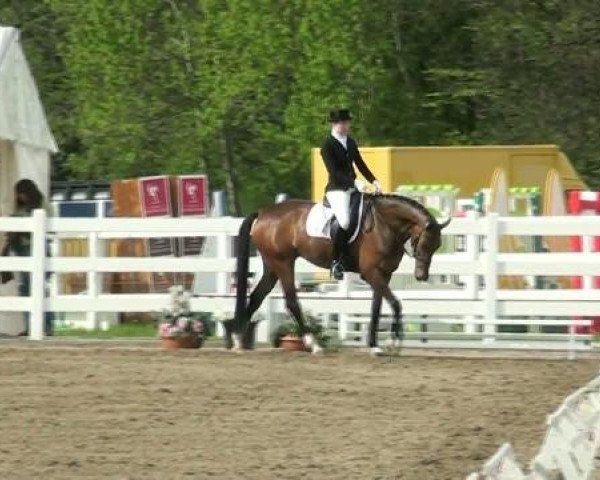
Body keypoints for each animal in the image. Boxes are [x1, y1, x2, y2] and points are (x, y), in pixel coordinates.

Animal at [225, 193, 450, 354]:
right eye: (424, 242)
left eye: (437, 246)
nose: (421, 276)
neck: (384, 225)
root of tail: (263, 213)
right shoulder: (371, 273)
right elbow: (395, 304)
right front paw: (392, 342)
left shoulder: (383, 275)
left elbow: (376, 308)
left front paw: (374, 345)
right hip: (283, 263)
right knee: (291, 301)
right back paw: (314, 344)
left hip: (272, 266)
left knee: (257, 297)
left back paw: (238, 339)